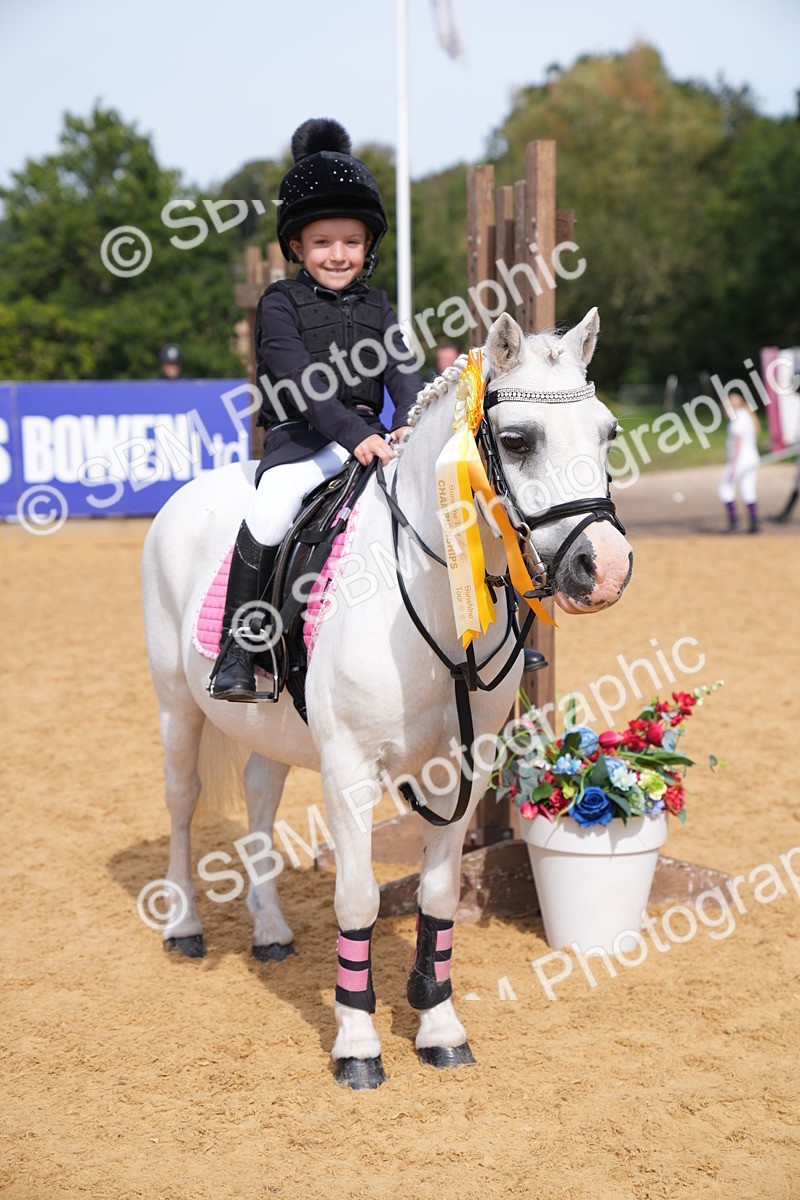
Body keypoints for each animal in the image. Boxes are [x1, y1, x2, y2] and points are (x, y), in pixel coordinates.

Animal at [141, 309, 633, 1089]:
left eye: (607, 432)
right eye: (518, 440)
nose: (605, 568)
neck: (430, 595)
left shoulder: (461, 768)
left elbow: (438, 895)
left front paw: (438, 1026)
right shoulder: (349, 770)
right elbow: (358, 898)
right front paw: (357, 1044)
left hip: (268, 726)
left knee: (258, 795)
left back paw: (270, 930)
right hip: (176, 707)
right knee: (184, 804)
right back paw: (184, 925)